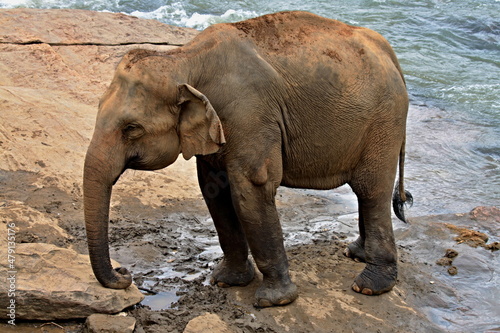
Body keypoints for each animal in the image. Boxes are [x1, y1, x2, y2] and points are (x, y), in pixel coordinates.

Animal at [82, 10, 412, 306]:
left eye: (131, 128)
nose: (125, 274)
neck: (186, 58)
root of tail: (390, 53)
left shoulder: (250, 113)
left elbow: (250, 190)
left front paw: (274, 300)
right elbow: (214, 192)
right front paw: (226, 281)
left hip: (384, 121)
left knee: (370, 190)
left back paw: (370, 286)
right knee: (366, 193)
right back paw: (356, 254)